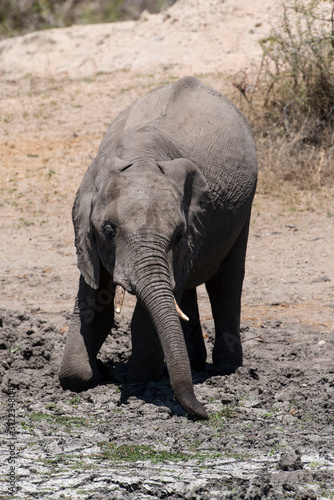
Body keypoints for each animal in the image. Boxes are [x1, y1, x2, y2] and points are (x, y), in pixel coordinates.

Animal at [58, 76, 258, 420]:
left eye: (178, 235)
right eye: (108, 231)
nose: (206, 413)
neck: (141, 158)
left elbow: (146, 317)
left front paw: (137, 383)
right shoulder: (87, 234)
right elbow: (93, 304)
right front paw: (94, 373)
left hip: (244, 208)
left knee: (225, 282)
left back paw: (223, 369)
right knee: (186, 289)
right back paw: (194, 363)